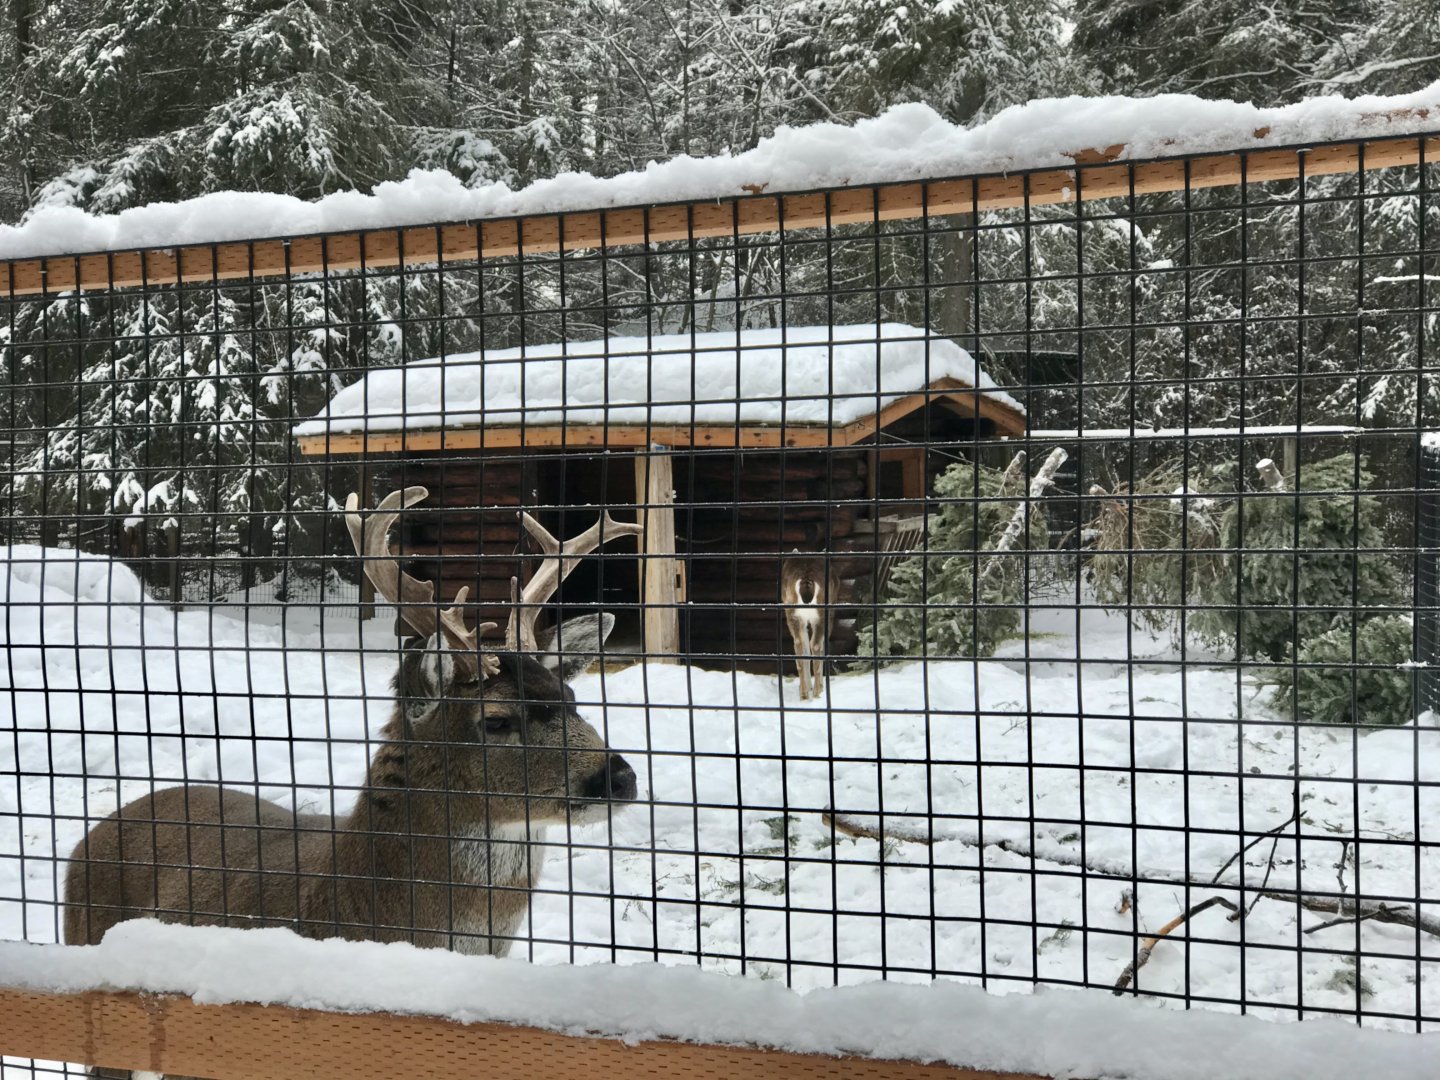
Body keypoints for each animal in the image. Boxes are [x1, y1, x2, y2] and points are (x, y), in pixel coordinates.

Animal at [780, 553, 839, 700]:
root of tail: (806, 579)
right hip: (822, 613)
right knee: (816, 645)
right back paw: (818, 692)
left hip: (793, 613)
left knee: (799, 644)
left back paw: (804, 693)